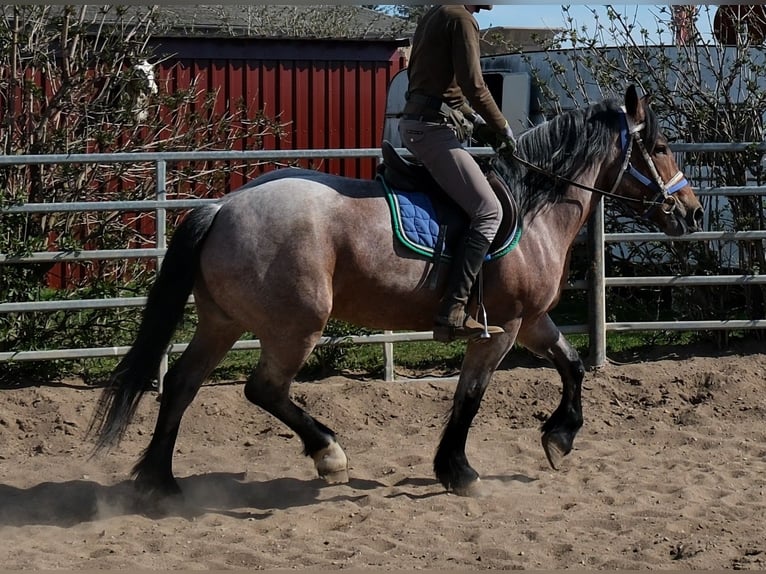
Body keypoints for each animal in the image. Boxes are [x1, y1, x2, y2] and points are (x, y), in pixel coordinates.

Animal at [88, 85, 704, 499]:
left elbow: (572, 364)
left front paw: (560, 439)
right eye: (660, 144)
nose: (692, 212)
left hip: (222, 322)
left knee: (182, 384)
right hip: (295, 326)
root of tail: (222, 206)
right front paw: (458, 470)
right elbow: (470, 395)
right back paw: (329, 455)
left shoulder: (532, 321)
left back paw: (159, 480)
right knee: (263, 389)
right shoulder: (500, 328)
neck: (534, 208)